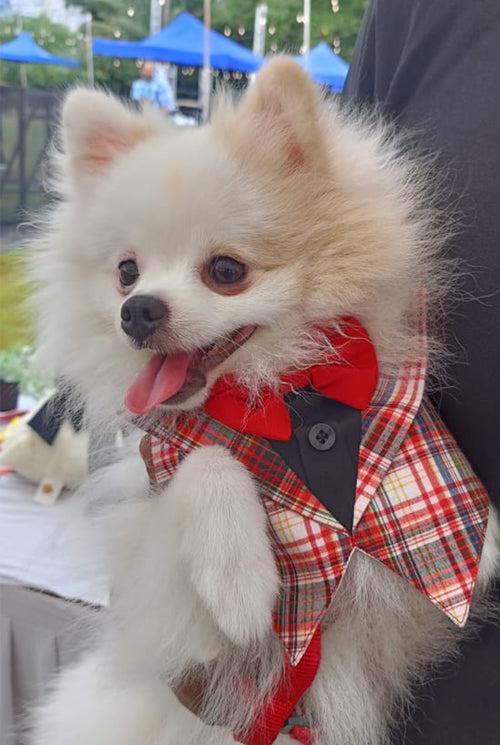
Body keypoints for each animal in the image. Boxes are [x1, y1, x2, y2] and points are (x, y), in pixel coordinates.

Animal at [28, 61, 500, 744]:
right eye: (125, 272)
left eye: (226, 270)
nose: (136, 311)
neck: (269, 394)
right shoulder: (158, 573)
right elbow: (209, 459)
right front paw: (238, 582)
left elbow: (411, 461)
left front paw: (479, 540)